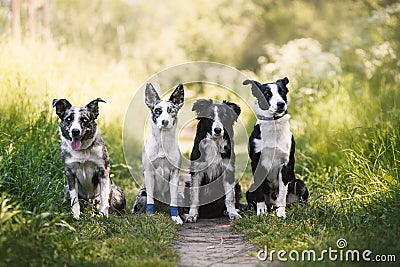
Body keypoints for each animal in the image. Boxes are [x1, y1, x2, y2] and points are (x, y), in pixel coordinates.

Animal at [133, 82, 186, 225]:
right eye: (158, 111)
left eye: (171, 110)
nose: (164, 122)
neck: (162, 142)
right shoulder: (149, 173)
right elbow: (150, 200)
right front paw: (150, 215)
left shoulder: (174, 174)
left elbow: (174, 202)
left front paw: (176, 217)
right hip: (142, 194)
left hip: (180, 195)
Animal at [242, 78, 308, 220]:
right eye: (267, 94)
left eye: (282, 92)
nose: (281, 104)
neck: (274, 126)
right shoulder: (256, 162)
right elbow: (259, 192)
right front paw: (261, 211)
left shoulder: (286, 164)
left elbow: (282, 193)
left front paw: (281, 213)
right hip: (249, 190)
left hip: (299, 184)